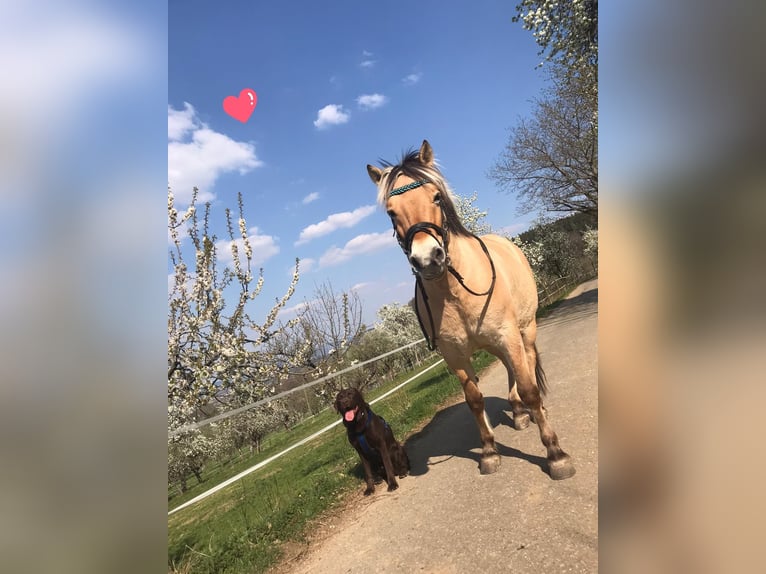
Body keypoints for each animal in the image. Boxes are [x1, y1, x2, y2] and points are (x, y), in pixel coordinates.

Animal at [366, 140, 575, 480]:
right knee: (509, 369)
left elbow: (529, 387)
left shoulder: (508, 336)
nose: (428, 259)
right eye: (391, 212)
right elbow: (474, 400)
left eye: (436, 197)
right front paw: (489, 451)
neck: (455, 291)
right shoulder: (455, 355)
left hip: (525, 330)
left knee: (527, 364)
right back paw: (518, 412)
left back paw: (533, 411)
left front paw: (555, 454)